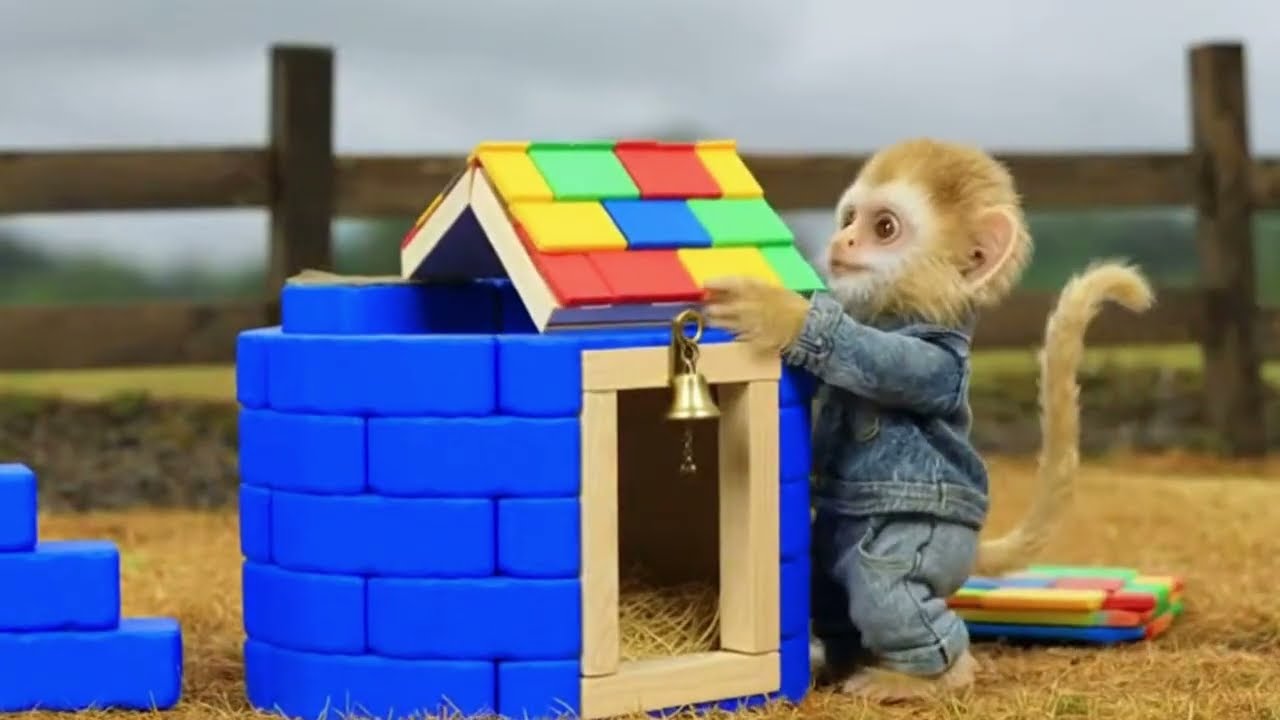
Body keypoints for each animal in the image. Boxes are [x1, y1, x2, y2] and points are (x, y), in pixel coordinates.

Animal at [702, 138, 1154, 701]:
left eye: (884, 228)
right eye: (850, 218)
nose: (844, 239)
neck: (903, 308)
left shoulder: (941, 357)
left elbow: (892, 363)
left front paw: (782, 314)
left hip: (929, 544)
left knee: (885, 590)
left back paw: (932, 674)